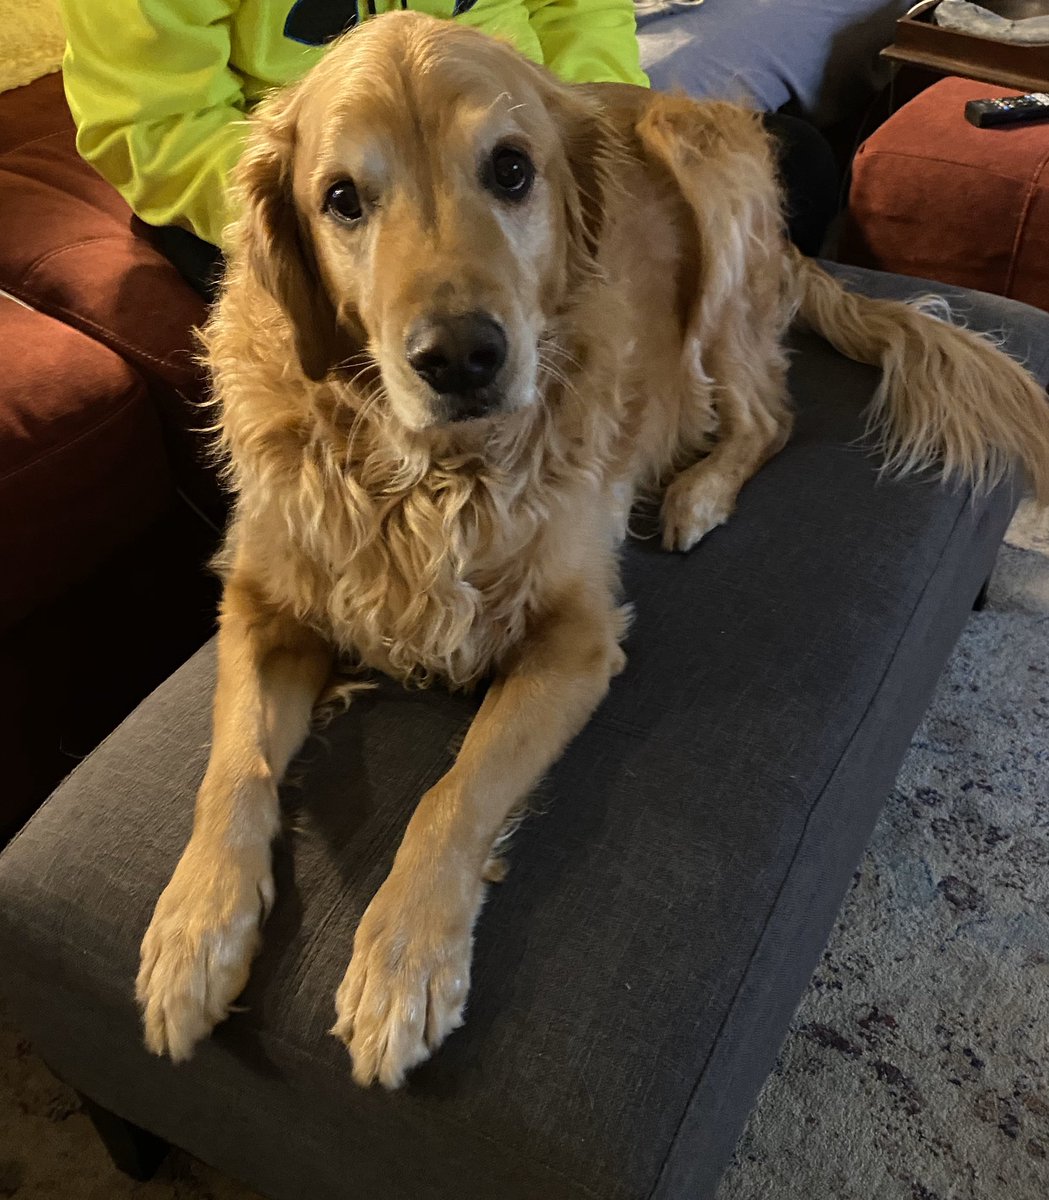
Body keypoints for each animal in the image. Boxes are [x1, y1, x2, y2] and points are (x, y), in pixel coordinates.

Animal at [136, 11, 1049, 1089]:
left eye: (510, 169)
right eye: (342, 199)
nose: (461, 358)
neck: (428, 476)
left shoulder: (573, 639)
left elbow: (450, 794)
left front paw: (403, 962)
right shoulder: (261, 606)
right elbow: (231, 768)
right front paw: (194, 933)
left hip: (713, 205)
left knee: (769, 414)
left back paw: (698, 494)